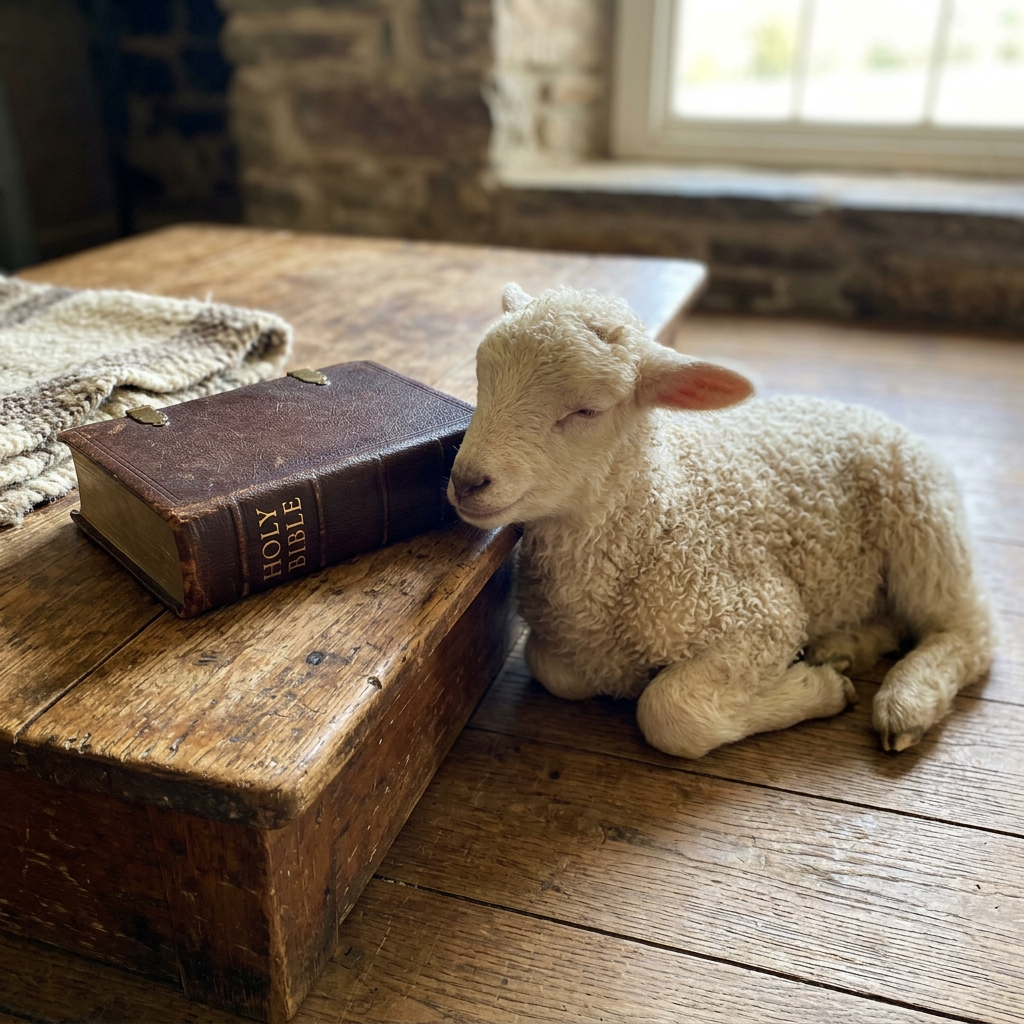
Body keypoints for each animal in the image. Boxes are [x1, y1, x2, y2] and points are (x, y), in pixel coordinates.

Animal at [447, 283, 995, 758]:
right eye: (482, 381)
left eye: (587, 411)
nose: (467, 480)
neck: (655, 522)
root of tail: (867, 413)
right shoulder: (565, 644)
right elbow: (553, 670)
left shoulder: (759, 616)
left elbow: (669, 713)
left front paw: (818, 691)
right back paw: (847, 647)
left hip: (924, 524)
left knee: (968, 631)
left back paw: (905, 703)